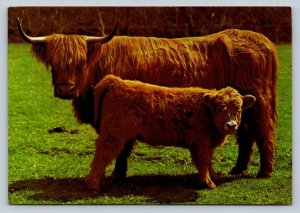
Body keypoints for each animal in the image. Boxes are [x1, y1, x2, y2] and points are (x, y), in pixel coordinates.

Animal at [17, 18, 278, 178]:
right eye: (53, 63)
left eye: (79, 63)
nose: (65, 90)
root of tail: (263, 40)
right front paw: (119, 173)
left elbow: (123, 146)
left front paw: (117, 174)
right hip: (242, 105)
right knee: (246, 134)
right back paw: (237, 169)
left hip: (259, 103)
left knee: (263, 132)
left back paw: (264, 172)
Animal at [85, 74, 256, 191]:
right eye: (220, 108)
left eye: (239, 109)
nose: (231, 125)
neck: (206, 111)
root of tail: (118, 81)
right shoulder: (199, 142)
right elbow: (202, 161)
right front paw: (208, 183)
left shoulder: (208, 144)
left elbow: (208, 160)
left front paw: (213, 176)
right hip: (113, 135)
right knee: (102, 155)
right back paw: (93, 185)